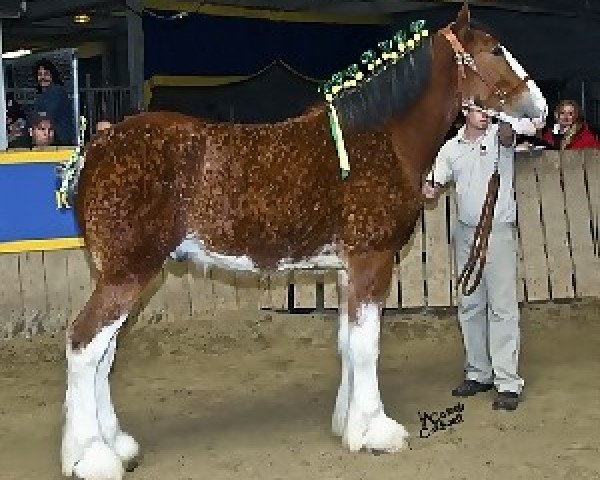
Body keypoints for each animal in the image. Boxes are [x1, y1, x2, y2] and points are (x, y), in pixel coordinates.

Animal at [62, 4, 548, 480]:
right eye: (494, 50)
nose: (540, 110)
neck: (380, 138)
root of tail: (99, 144)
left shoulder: (349, 271)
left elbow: (348, 342)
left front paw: (349, 425)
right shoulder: (372, 261)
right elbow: (366, 346)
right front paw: (377, 431)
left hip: (124, 274)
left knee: (103, 352)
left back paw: (116, 445)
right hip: (128, 273)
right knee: (85, 345)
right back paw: (92, 457)